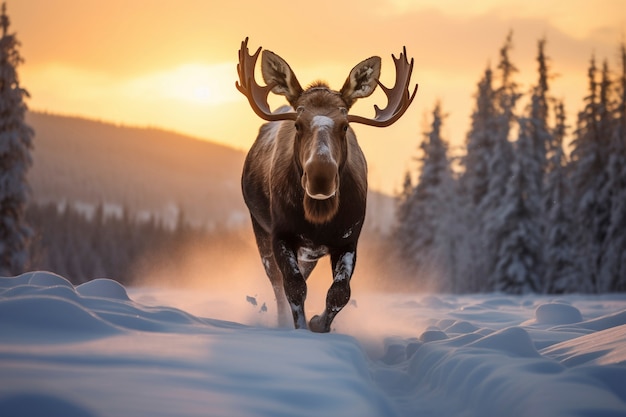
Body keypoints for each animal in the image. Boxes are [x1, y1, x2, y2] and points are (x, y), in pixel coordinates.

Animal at [236, 38, 416, 332]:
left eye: (345, 126)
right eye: (298, 125)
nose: (321, 177)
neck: (318, 217)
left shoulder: (348, 239)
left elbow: (340, 292)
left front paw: (319, 323)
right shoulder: (281, 233)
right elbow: (293, 287)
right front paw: (300, 328)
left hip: (309, 251)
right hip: (260, 228)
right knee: (277, 284)